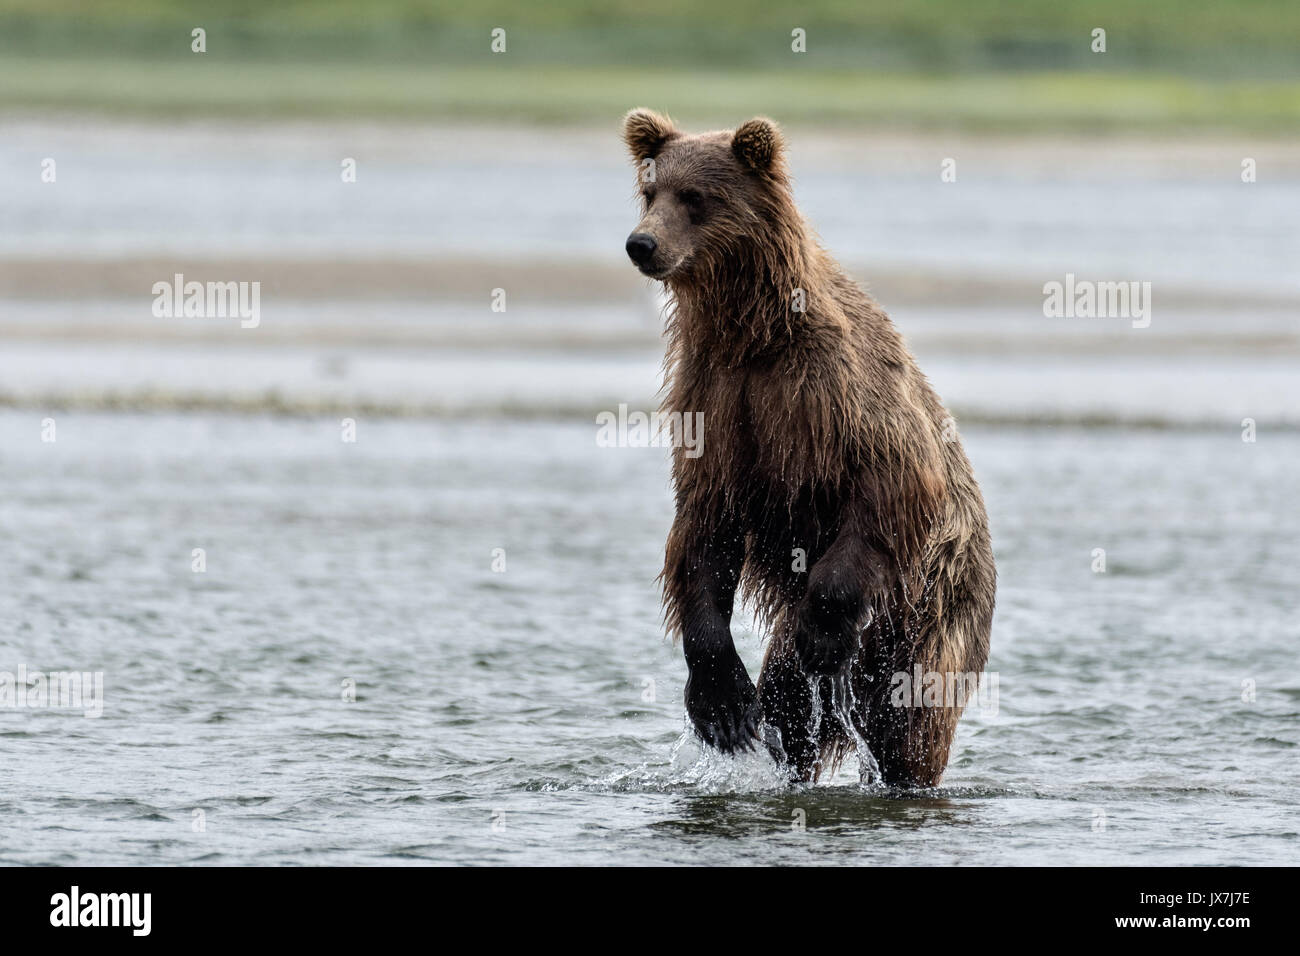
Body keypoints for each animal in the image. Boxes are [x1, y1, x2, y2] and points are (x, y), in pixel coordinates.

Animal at [618, 108, 993, 790]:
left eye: (696, 197)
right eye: (650, 191)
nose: (642, 244)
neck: (754, 334)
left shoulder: (835, 389)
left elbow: (891, 484)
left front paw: (823, 633)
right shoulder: (715, 401)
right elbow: (704, 528)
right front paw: (722, 705)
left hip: (935, 617)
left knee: (910, 727)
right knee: (791, 705)